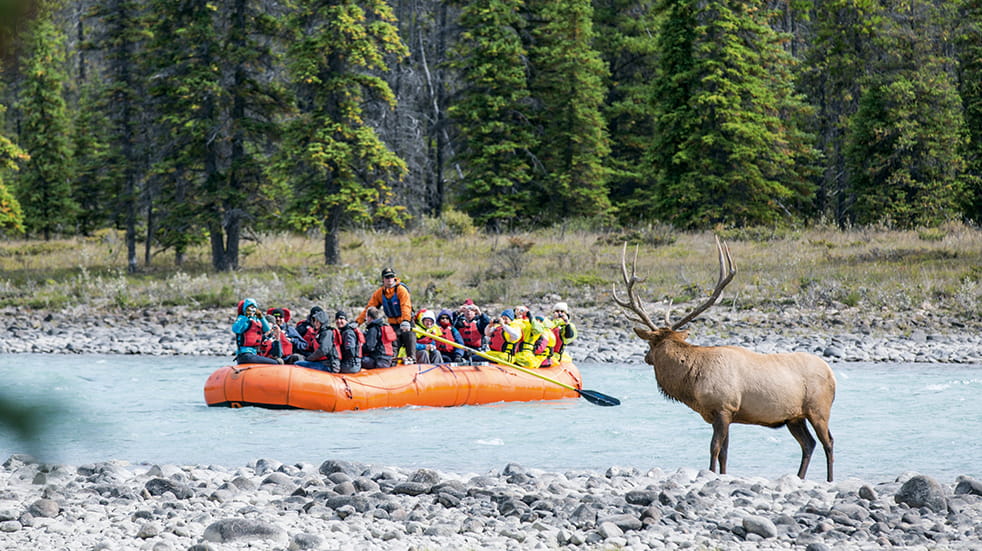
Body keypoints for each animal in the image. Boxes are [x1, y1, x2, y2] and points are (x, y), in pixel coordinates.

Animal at [616, 237, 836, 484]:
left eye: (650, 344)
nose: (646, 357)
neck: (692, 382)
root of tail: (832, 374)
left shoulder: (723, 407)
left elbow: (714, 448)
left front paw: (710, 473)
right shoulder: (726, 414)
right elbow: (725, 452)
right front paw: (722, 475)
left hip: (819, 408)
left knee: (828, 442)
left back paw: (830, 479)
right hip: (794, 417)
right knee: (808, 444)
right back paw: (799, 477)